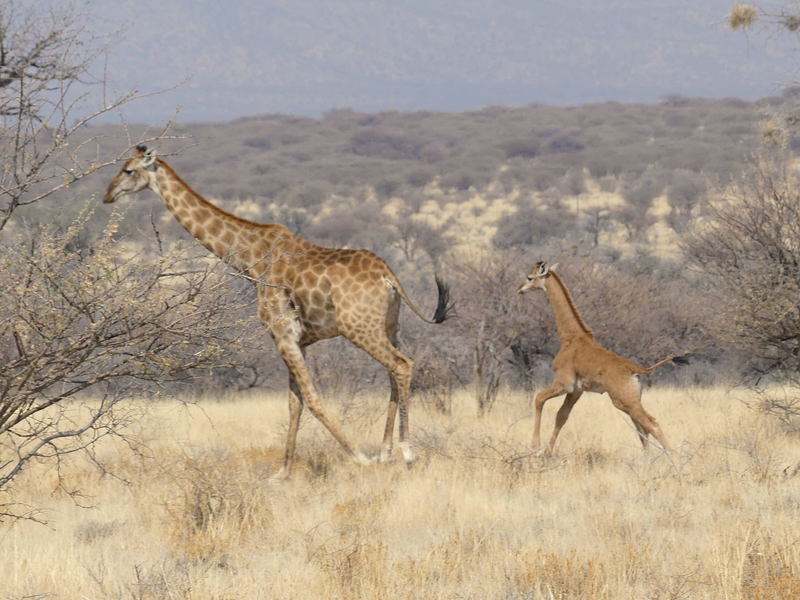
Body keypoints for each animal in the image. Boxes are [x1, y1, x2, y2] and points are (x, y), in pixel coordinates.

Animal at [103, 146, 452, 479]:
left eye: (128, 170)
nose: (108, 195)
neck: (250, 258)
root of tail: (388, 276)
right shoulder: (299, 340)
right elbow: (294, 403)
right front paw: (283, 473)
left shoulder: (282, 333)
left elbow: (310, 399)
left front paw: (359, 459)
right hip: (389, 326)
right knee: (394, 371)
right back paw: (385, 451)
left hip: (360, 328)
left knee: (402, 365)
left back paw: (406, 451)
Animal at [517, 261, 678, 455]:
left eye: (529, 277)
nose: (520, 289)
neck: (571, 338)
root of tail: (636, 370)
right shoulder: (576, 390)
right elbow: (561, 416)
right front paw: (547, 453)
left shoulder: (565, 382)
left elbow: (539, 398)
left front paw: (535, 447)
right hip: (631, 400)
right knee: (642, 428)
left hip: (623, 400)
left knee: (652, 423)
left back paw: (674, 458)